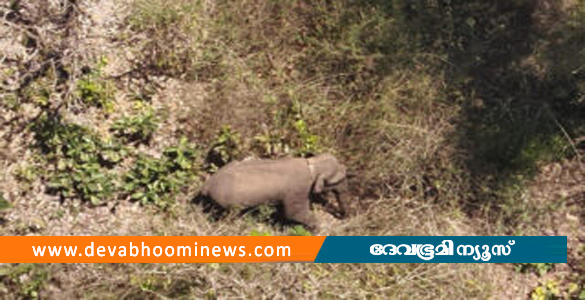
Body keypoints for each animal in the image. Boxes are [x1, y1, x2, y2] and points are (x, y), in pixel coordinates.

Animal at [198, 154, 350, 231]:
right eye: (338, 180)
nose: (342, 217)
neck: (311, 164)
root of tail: (207, 185)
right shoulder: (298, 189)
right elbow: (293, 213)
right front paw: (317, 228)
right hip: (228, 203)